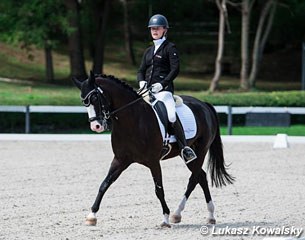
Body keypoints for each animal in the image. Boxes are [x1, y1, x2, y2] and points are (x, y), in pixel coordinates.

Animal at [72, 71, 234, 227]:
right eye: (83, 102)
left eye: (95, 98)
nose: (96, 126)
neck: (132, 120)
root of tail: (204, 104)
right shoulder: (120, 160)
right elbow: (104, 184)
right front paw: (91, 216)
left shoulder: (153, 162)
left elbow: (159, 189)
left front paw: (165, 219)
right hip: (188, 155)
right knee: (201, 176)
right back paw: (206, 216)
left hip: (200, 151)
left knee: (194, 178)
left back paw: (178, 213)